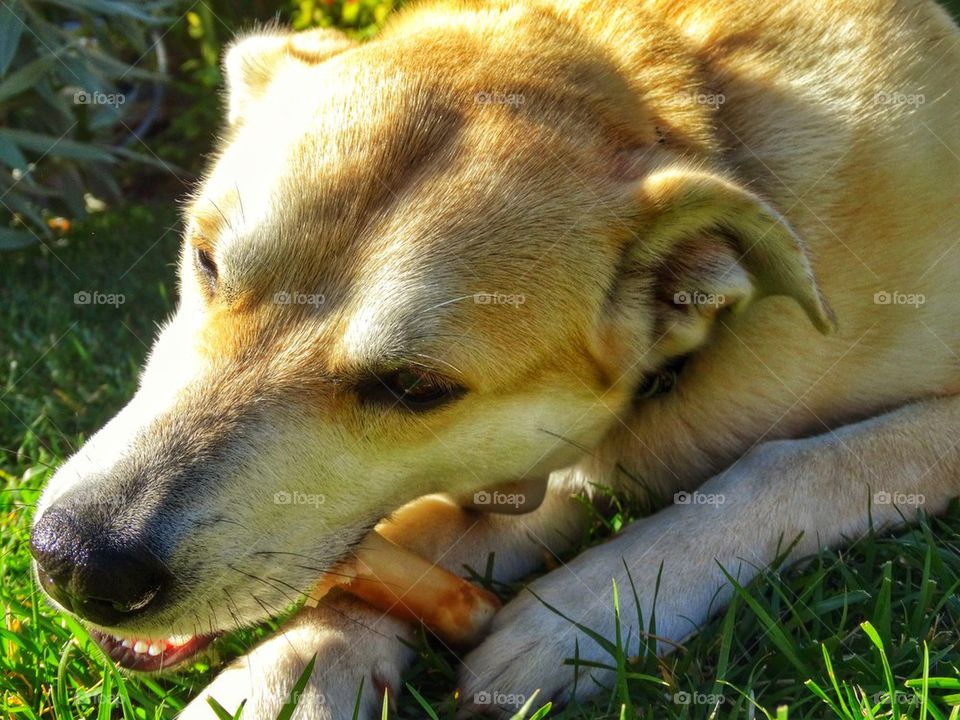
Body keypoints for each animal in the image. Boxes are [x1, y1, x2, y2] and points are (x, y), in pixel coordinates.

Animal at [30, 0, 960, 716]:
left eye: (416, 387)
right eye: (207, 262)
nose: (75, 561)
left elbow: (796, 466)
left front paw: (578, 613)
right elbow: (411, 535)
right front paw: (288, 673)